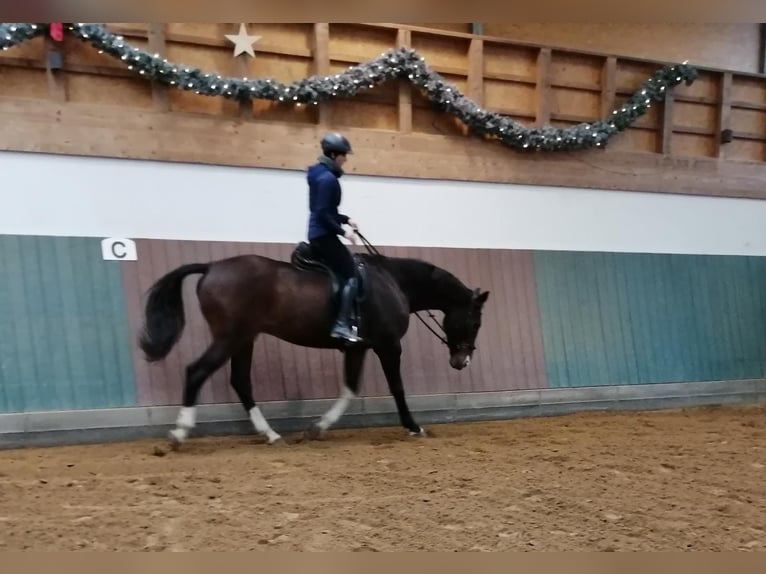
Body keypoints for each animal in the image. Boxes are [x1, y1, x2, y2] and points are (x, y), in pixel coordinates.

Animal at [139, 245, 492, 448]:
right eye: (475, 322)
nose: (462, 361)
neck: (393, 282)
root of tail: (212, 267)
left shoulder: (357, 348)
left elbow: (350, 388)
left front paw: (317, 428)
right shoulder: (388, 346)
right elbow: (397, 387)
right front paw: (414, 427)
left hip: (244, 340)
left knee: (240, 381)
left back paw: (270, 434)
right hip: (230, 338)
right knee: (197, 372)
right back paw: (180, 433)